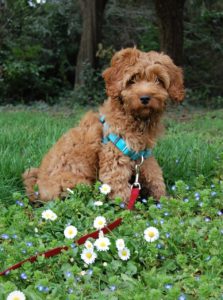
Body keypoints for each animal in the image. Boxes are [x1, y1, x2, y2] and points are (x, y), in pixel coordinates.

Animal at [22, 48, 185, 204]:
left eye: (159, 80)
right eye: (132, 79)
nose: (145, 97)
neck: (136, 119)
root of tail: (37, 189)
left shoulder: (144, 155)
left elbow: (155, 175)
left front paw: (165, 200)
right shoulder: (115, 158)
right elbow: (120, 189)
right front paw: (130, 209)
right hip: (77, 183)